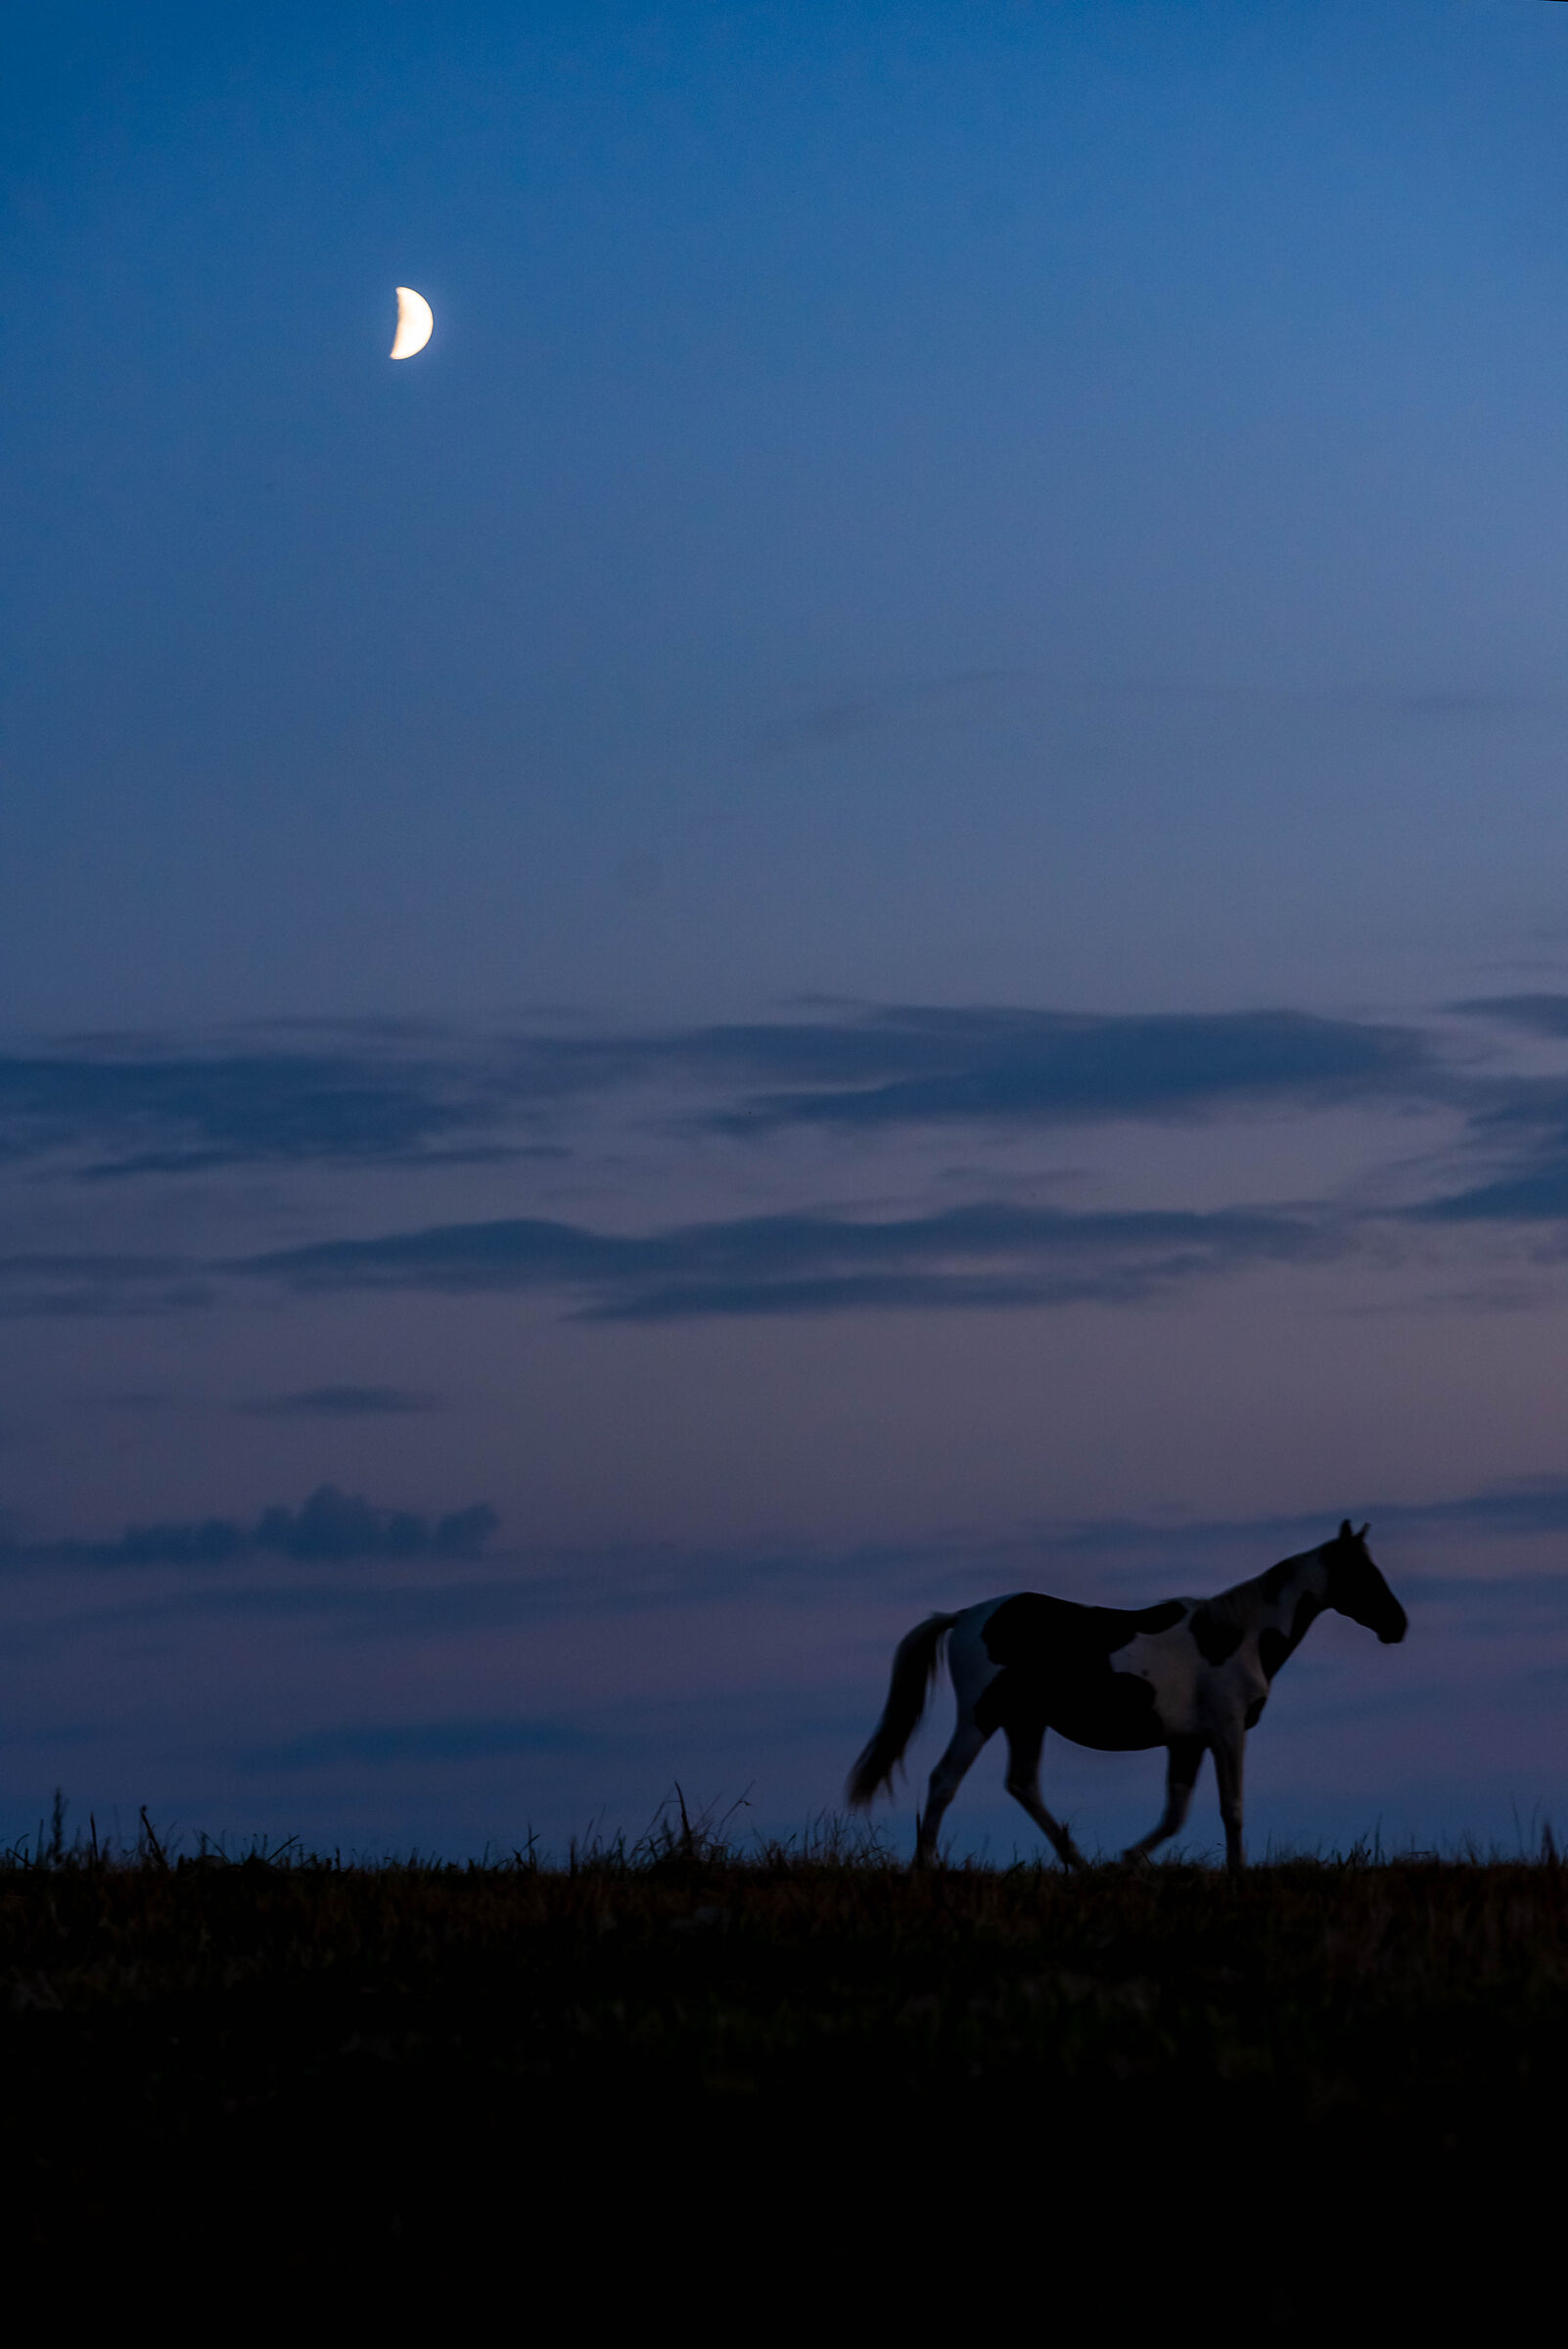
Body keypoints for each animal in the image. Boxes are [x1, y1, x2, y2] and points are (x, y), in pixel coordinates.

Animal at [846, 1521, 1407, 1870]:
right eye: (1361, 1573)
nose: (1398, 1626)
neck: (1234, 1637)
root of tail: (964, 1616)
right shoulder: (1226, 1733)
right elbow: (1232, 1807)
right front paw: (1237, 1870)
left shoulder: (1187, 1742)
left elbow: (1175, 1813)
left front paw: (1126, 1860)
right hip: (981, 1715)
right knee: (944, 1781)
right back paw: (927, 1865)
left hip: (1025, 1721)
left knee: (1023, 1785)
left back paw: (1080, 1863)